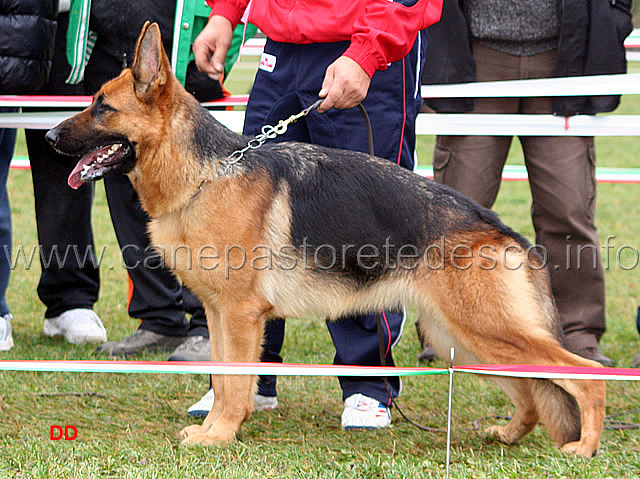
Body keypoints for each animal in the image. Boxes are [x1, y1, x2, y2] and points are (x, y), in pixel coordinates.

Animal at [46, 22, 604, 458]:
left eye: (102, 107)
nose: (48, 138)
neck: (206, 173)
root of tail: (503, 230)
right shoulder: (219, 314)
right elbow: (225, 379)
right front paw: (216, 427)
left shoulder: (241, 316)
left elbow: (236, 383)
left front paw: (220, 435)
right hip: (462, 339)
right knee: (532, 393)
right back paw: (507, 435)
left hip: (485, 331)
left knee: (582, 375)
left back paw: (585, 446)